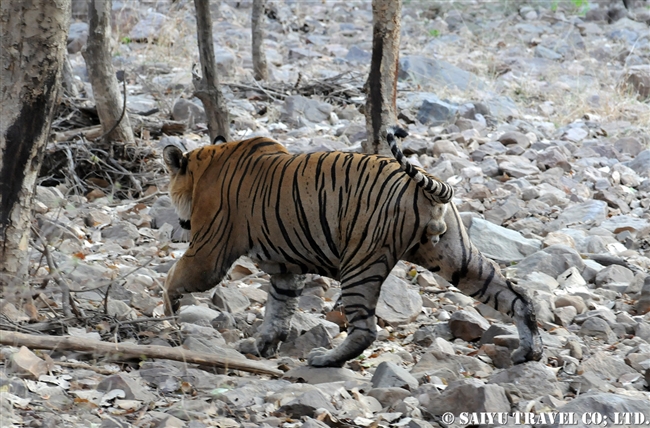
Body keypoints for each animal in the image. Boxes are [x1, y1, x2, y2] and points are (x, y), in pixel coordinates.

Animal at [162, 128, 540, 368]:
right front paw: (262, 344)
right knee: (516, 296)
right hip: (458, 258)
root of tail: (431, 185)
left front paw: (168, 313)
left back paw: (324, 360)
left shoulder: (208, 251)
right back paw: (528, 352)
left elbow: (174, 277)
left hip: (360, 263)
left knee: (365, 329)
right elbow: (278, 310)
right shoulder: (286, 269)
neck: (206, 166)